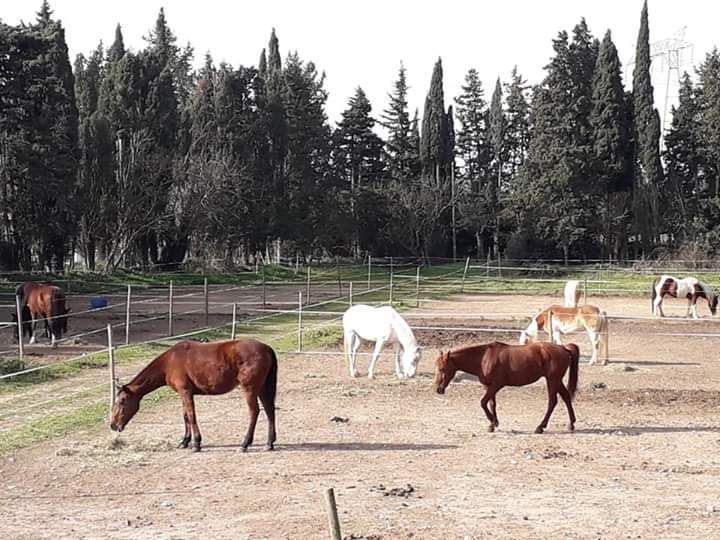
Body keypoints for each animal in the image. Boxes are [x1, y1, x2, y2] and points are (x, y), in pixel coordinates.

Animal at [109, 340, 278, 454]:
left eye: (122, 401)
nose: (113, 425)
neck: (170, 361)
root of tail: (266, 348)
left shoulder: (185, 392)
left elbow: (191, 416)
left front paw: (196, 443)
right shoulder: (184, 394)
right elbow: (185, 416)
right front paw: (184, 441)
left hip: (250, 389)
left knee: (254, 412)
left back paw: (244, 444)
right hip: (262, 388)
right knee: (269, 410)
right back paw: (269, 443)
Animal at [434, 342, 580, 434]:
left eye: (442, 369)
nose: (438, 389)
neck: (484, 358)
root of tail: (563, 348)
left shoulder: (496, 385)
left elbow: (483, 402)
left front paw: (492, 421)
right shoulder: (488, 386)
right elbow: (491, 404)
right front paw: (493, 424)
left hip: (552, 380)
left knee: (552, 402)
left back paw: (540, 427)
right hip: (556, 380)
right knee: (566, 397)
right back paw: (571, 424)